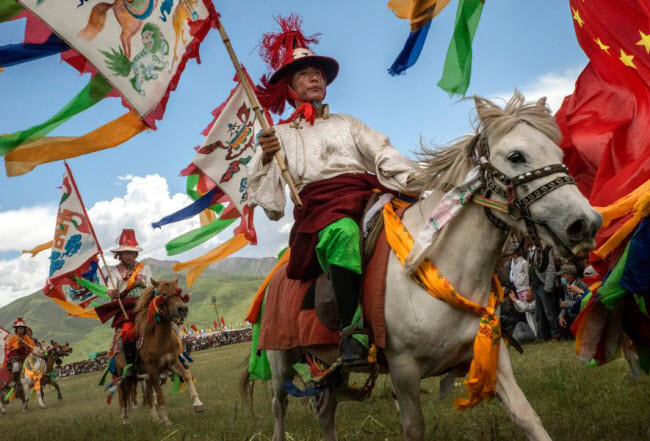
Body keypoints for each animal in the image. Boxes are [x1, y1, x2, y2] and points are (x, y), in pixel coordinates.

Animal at [113, 276, 200, 424]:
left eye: (178, 293)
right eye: (163, 294)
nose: (182, 309)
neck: (159, 340)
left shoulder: (171, 362)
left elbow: (187, 375)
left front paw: (198, 404)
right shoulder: (152, 370)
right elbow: (159, 396)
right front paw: (166, 420)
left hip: (145, 375)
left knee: (148, 397)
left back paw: (155, 418)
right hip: (124, 375)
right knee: (124, 395)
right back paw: (126, 419)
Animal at [260, 93, 600, 440]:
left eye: (559, 153)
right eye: (516, 156)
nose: (585, 223)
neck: (447, 267)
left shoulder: (493, 353)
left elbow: (526, 416)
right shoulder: (404, 369)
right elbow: (414, 428)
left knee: (326, 411)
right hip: (280, 359)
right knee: (278, 409)